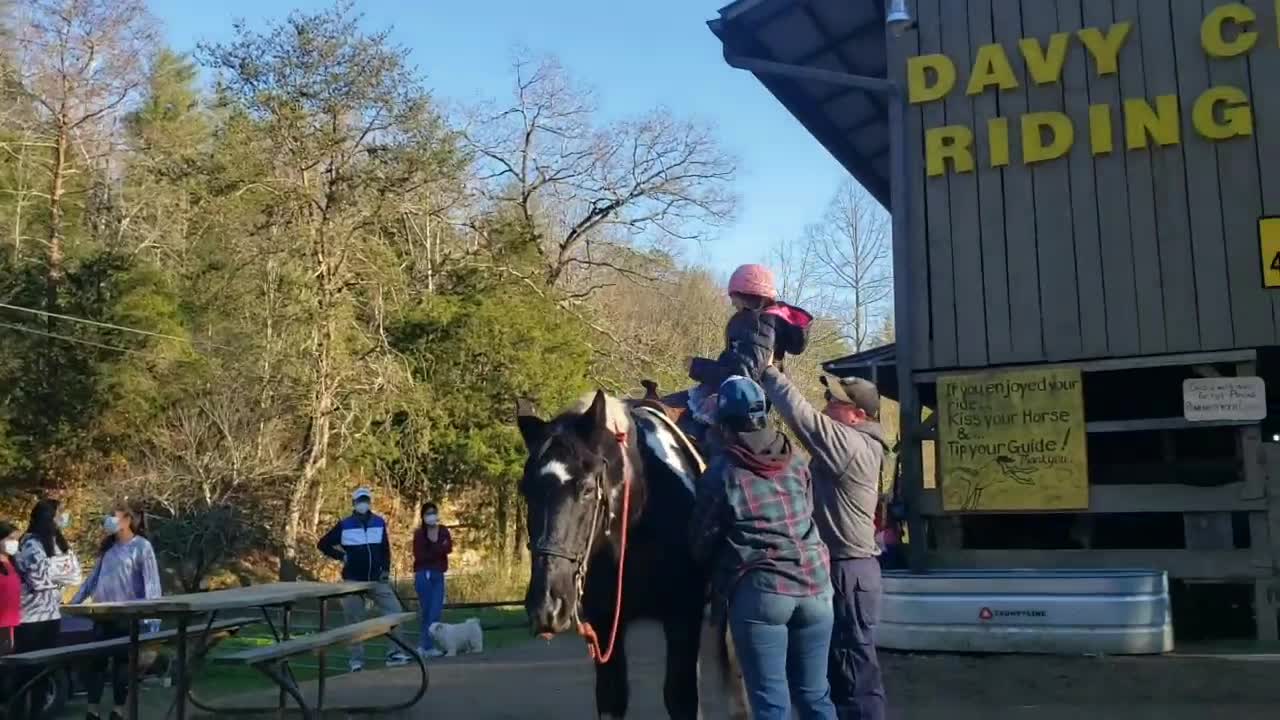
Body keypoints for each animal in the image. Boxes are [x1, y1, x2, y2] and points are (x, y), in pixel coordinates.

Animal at [514, 389, 747, 712]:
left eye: (587, 489)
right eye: (526, 490)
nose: (548, 604)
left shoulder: (683, 616)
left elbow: (681, 696)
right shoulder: (604, 624)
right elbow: (612, 695)